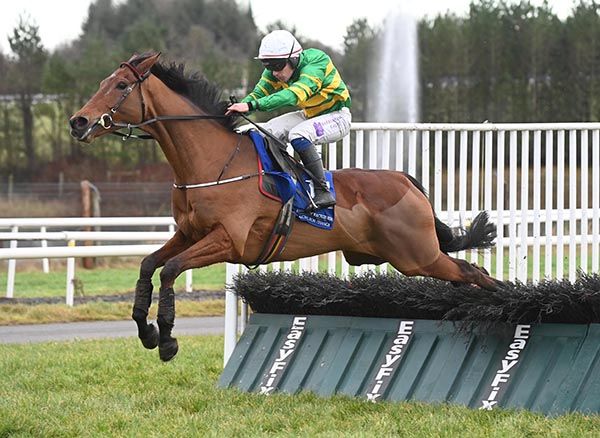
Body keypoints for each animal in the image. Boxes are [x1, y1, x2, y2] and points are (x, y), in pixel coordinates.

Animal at [70, 51, 502, 362]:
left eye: (121, 85)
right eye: (102, 82)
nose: (79, 122)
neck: (212, 163)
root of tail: (405, 180)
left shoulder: (228, 241)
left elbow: (172, 270)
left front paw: (167, 340)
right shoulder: (190, 233)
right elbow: (149, 265)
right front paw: (147, 332)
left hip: (416, 255)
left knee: (475, 272)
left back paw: (504, 306)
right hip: (404, 256)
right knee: (465, 274)